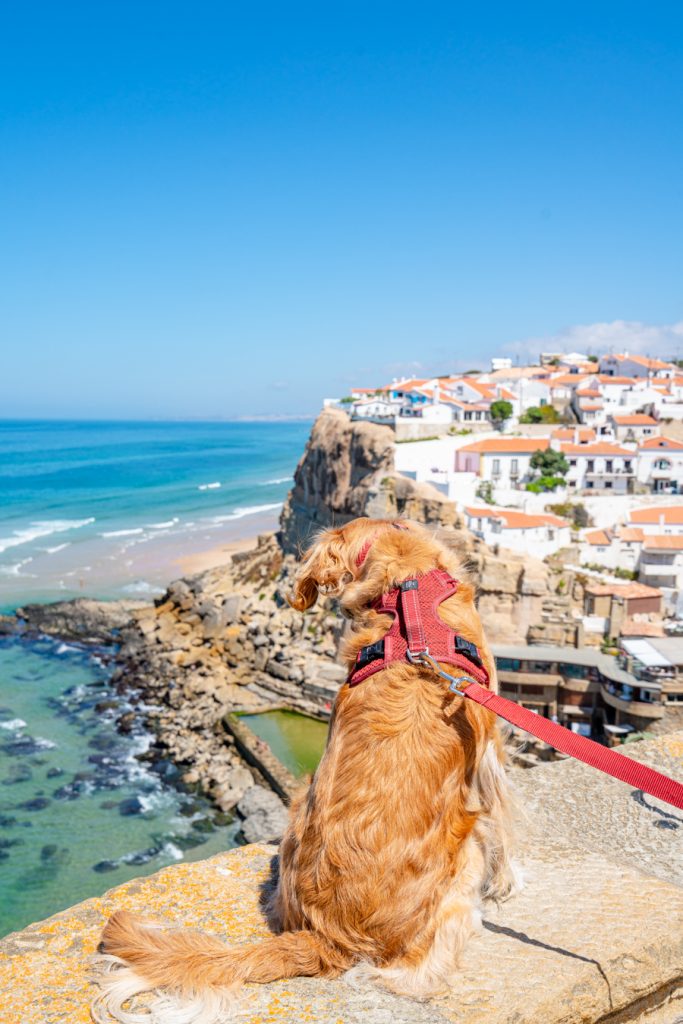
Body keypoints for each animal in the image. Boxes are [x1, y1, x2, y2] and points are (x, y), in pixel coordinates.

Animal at [93, 520, 516, 1024]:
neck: (408, 588)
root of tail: (327, 937)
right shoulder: (490, 752)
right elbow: (505, 826)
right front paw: (508, 882)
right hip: (461, 861)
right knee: (412, 975)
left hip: (298, 810)